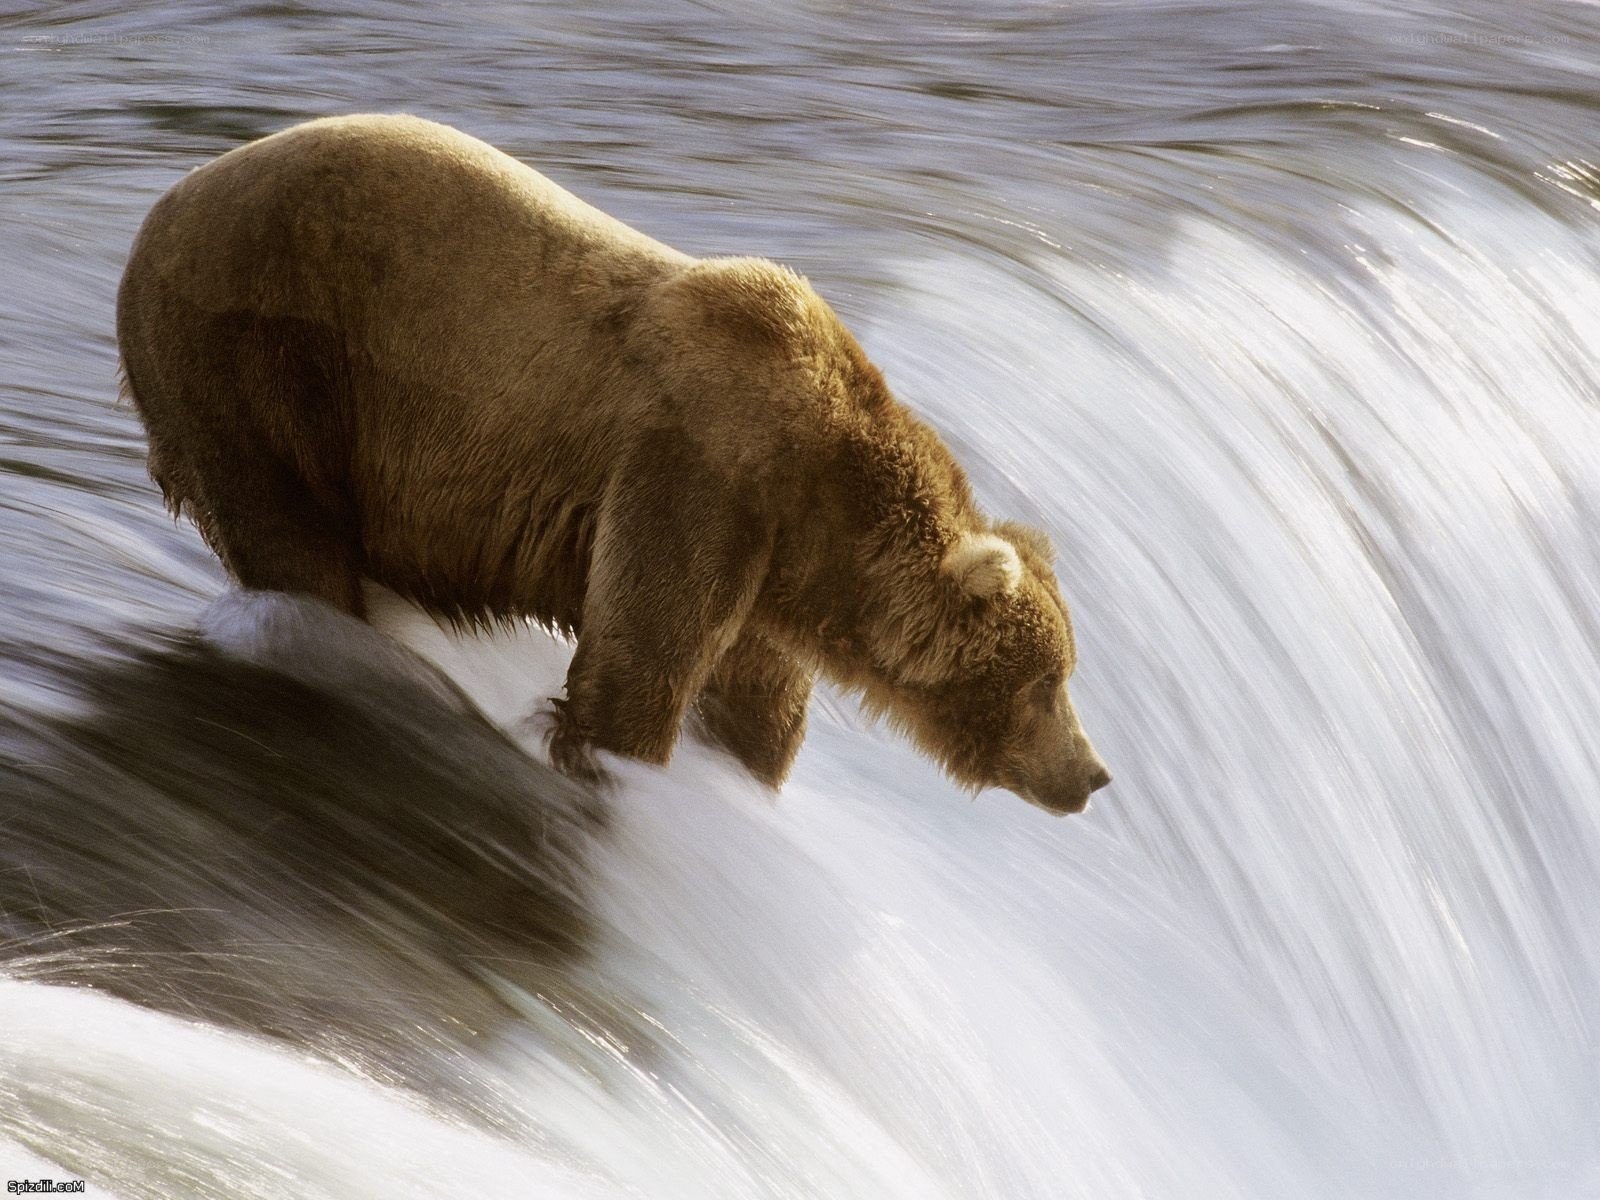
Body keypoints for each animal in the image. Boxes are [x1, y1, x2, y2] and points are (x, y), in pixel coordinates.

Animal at [116, 113, 1112, 813]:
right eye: (1046, 681)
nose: (1094, 773)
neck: (821, 501)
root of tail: (160, 208)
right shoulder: (698, 473)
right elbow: (640, 664)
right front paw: (616, 765)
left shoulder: (767, 569)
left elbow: (755, 705)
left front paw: (742, 774)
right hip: (264, 355)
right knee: (290, 534)